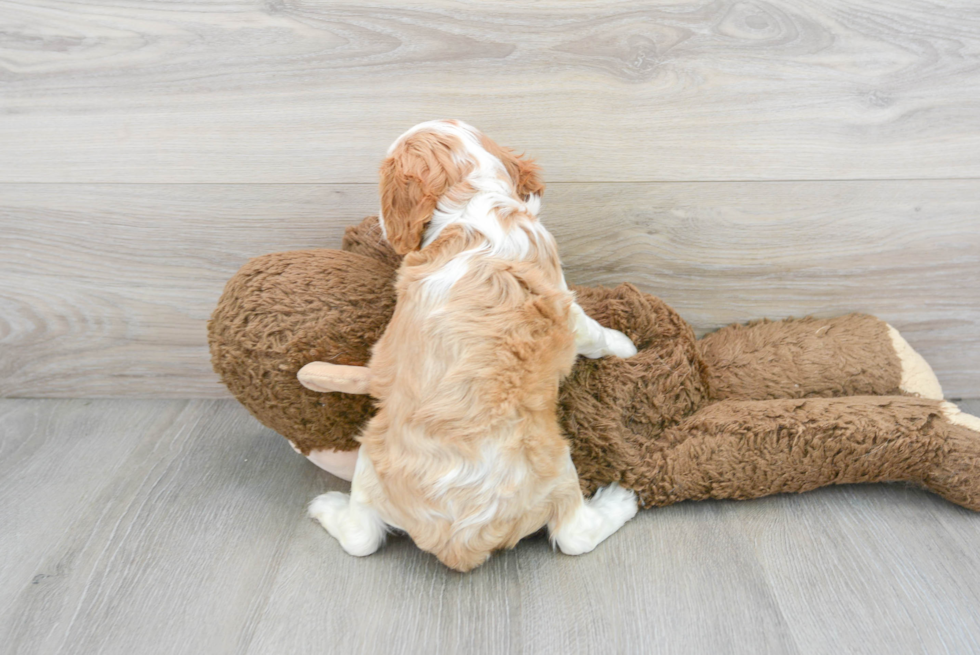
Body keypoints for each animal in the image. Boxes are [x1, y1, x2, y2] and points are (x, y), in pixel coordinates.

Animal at [310, 120, 640, 572]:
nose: (378, 222)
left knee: (361, 537)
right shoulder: (565, 305)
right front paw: (626, 345)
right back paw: (619, 502)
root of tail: (459, 542)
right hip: (556, 465)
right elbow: (595, 331)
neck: (470, 205)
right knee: (575, 535)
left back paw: (326, 508)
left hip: (371, 459)